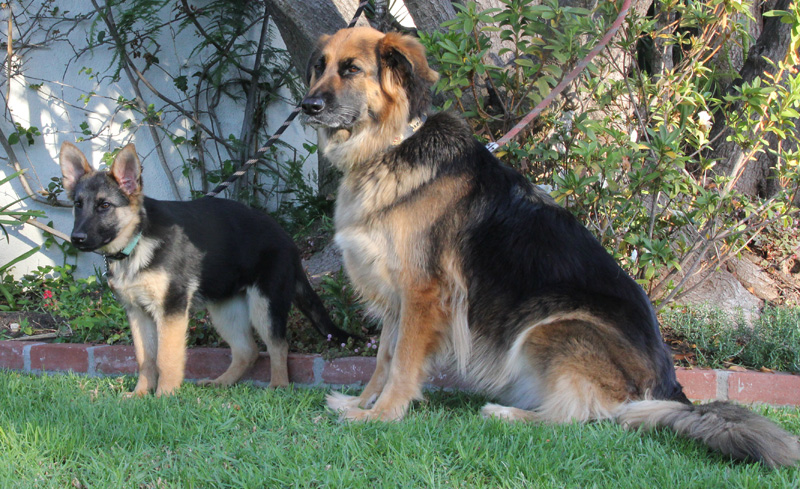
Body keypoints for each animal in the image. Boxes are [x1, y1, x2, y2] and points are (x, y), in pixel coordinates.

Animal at [59, 142, 352, 396]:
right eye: (78, 205)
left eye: (104, 206)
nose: (77, 239)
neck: (137, 240)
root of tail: (287, 239)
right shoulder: (138, 314)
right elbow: (145, 359)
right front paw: (140, 394)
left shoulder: (171, 310)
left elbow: (165, 358)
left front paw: (164, 396)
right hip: (226, 311)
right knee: (248, 351)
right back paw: (222, 383)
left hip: (264, 307)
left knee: (278, 345)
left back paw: (277, 387)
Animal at [300, 26, 799, 467]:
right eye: (320, 67)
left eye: (352, 69)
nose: (308, 106)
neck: (390, 147)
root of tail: (671, 389)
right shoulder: (395, 296)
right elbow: (383, 358)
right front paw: (362, 405)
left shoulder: (422, 294)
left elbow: (402, 362)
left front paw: (384, 415)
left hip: (551, 326)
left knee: (582, 417)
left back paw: (507, 414)